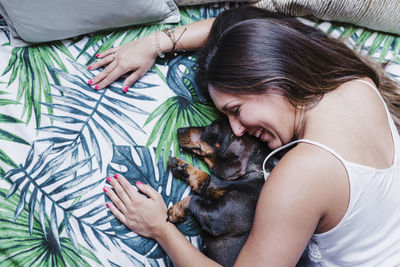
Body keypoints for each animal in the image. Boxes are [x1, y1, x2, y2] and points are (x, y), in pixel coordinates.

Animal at [167, 120, 276, 266]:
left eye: (213, 127)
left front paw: (175, 211)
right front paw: (180, 165)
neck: (253, 173)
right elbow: (205, 177)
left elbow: (192, 199)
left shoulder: (216, 217)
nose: (179, 130)